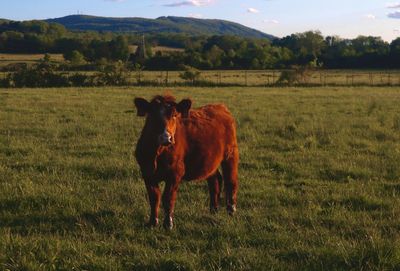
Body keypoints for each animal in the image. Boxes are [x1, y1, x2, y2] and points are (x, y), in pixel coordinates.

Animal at [134, 94, 239, 231]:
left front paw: (168, 224)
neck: (156, 154)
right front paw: (152, 222)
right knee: (215, 181)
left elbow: (168, 198)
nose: (166, 138)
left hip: (230, 154)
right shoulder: (147, 173)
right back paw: (213, 210)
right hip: (209, 161)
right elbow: (154, 198)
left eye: (174, 115)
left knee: (231, 181)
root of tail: (220, 107)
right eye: (151, 115)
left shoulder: (175, 173)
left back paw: (231, 210)